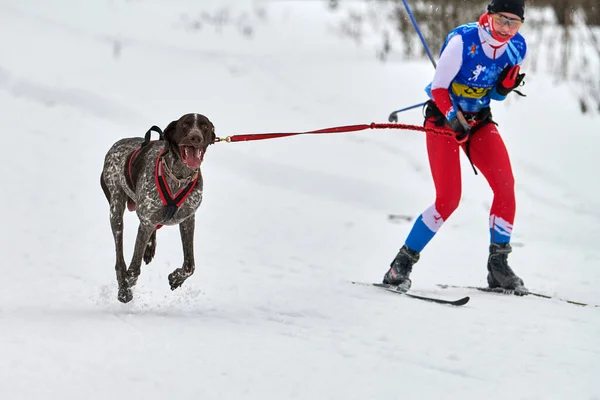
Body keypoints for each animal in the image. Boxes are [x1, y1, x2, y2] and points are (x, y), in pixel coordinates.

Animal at [100, 113, 216, 304]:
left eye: (204, 126)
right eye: (184, 125)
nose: (196, 137)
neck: (178, 177)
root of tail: (117, 143)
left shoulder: (187, 219)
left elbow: (190, 265)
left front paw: (176, 278)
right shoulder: (147, 221)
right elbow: (133, 268)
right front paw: (127, 286)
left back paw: (149, 248)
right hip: (115, 210)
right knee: (119, 258)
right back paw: (123, 283)